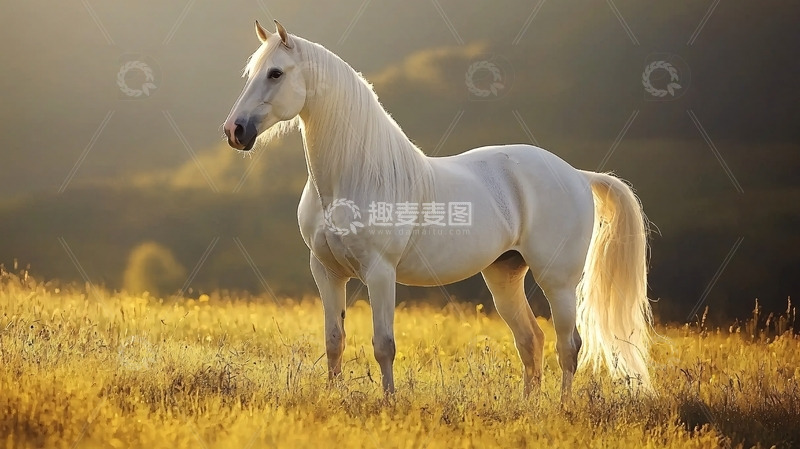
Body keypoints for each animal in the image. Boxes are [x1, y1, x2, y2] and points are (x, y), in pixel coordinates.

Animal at [223, 20, 653, 400]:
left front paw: (389, 403)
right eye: (251, 73)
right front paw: (334, 398)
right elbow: (334, 341)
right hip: (504, 275)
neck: (350, 178)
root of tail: (577, 175)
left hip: (558, 281)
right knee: (531, 340)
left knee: (568, 345)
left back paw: (561, 409)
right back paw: (527, 407)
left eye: (276, 73)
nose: (234, 131)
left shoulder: (380, 271)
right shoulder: (326, 271)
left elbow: (384, 344)